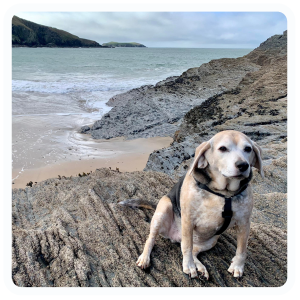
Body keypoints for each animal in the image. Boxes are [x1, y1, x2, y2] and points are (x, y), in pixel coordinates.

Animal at [119, 130, 262, 280]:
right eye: (223, 148)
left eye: (248, 149)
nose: (243, 165)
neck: (223, 193)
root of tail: (176, 237)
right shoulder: (188, 220)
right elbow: (187, 247)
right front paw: (188, 266)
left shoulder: (244, 223)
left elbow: (242, 249)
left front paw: (237, 266)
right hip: (163, 210)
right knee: (151, 239)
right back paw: (145, 258)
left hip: (210, 241)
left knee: (193, 251)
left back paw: (200, 268)